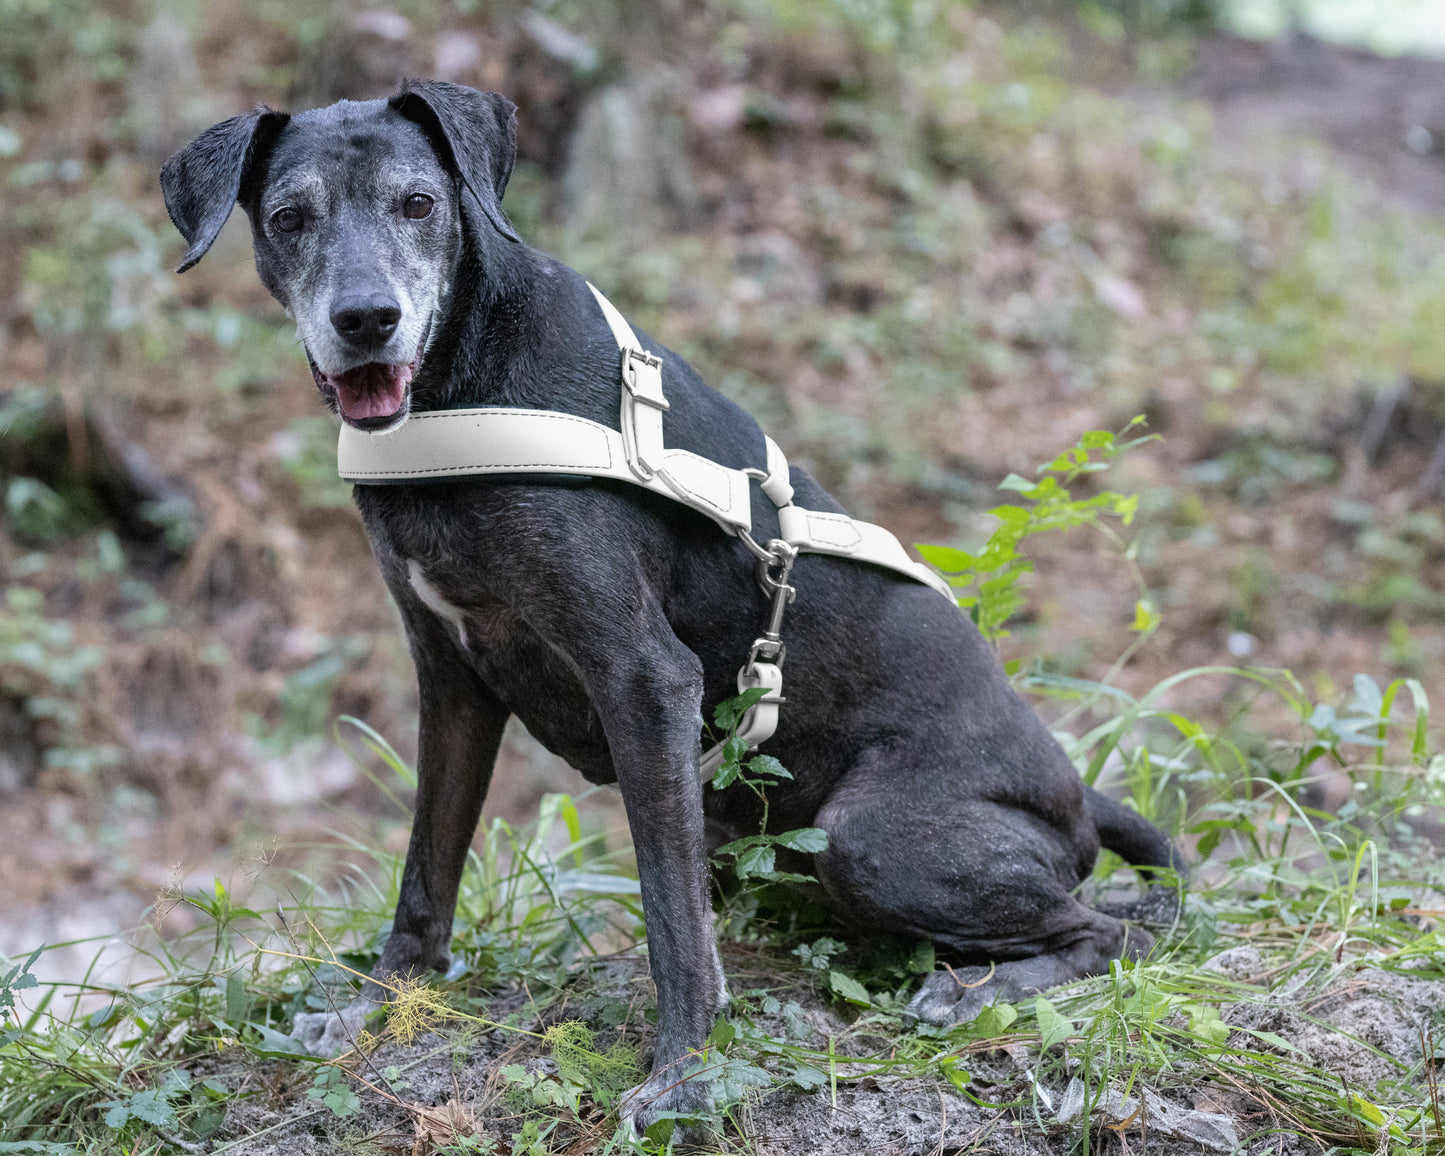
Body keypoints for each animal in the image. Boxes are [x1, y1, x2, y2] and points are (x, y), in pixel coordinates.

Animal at [161, 83, 1173, 1138]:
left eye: (418, 203)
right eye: (289, 217)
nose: (366, 320)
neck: (458, 387)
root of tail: (1076, 797)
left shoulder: (644, 680)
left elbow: (670, 920)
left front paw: (685, 1076)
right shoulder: (451, 680)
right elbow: (424, 871)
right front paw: (378, 1004)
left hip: (872, 836)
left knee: (1116, 933)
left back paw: (978, 990)